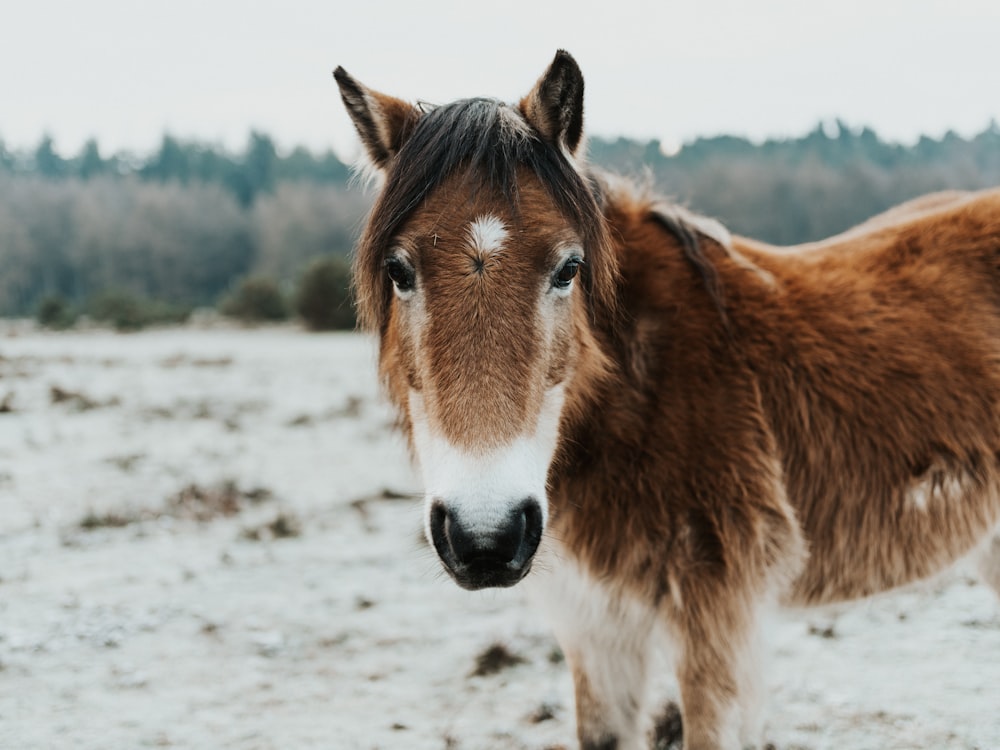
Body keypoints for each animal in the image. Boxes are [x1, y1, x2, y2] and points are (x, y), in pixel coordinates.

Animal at [334, 50, 1000, 748]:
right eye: (399, 270)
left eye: (568, 268)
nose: (485, 536)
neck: (641, 395)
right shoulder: (595, 626)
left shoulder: (716, 614)